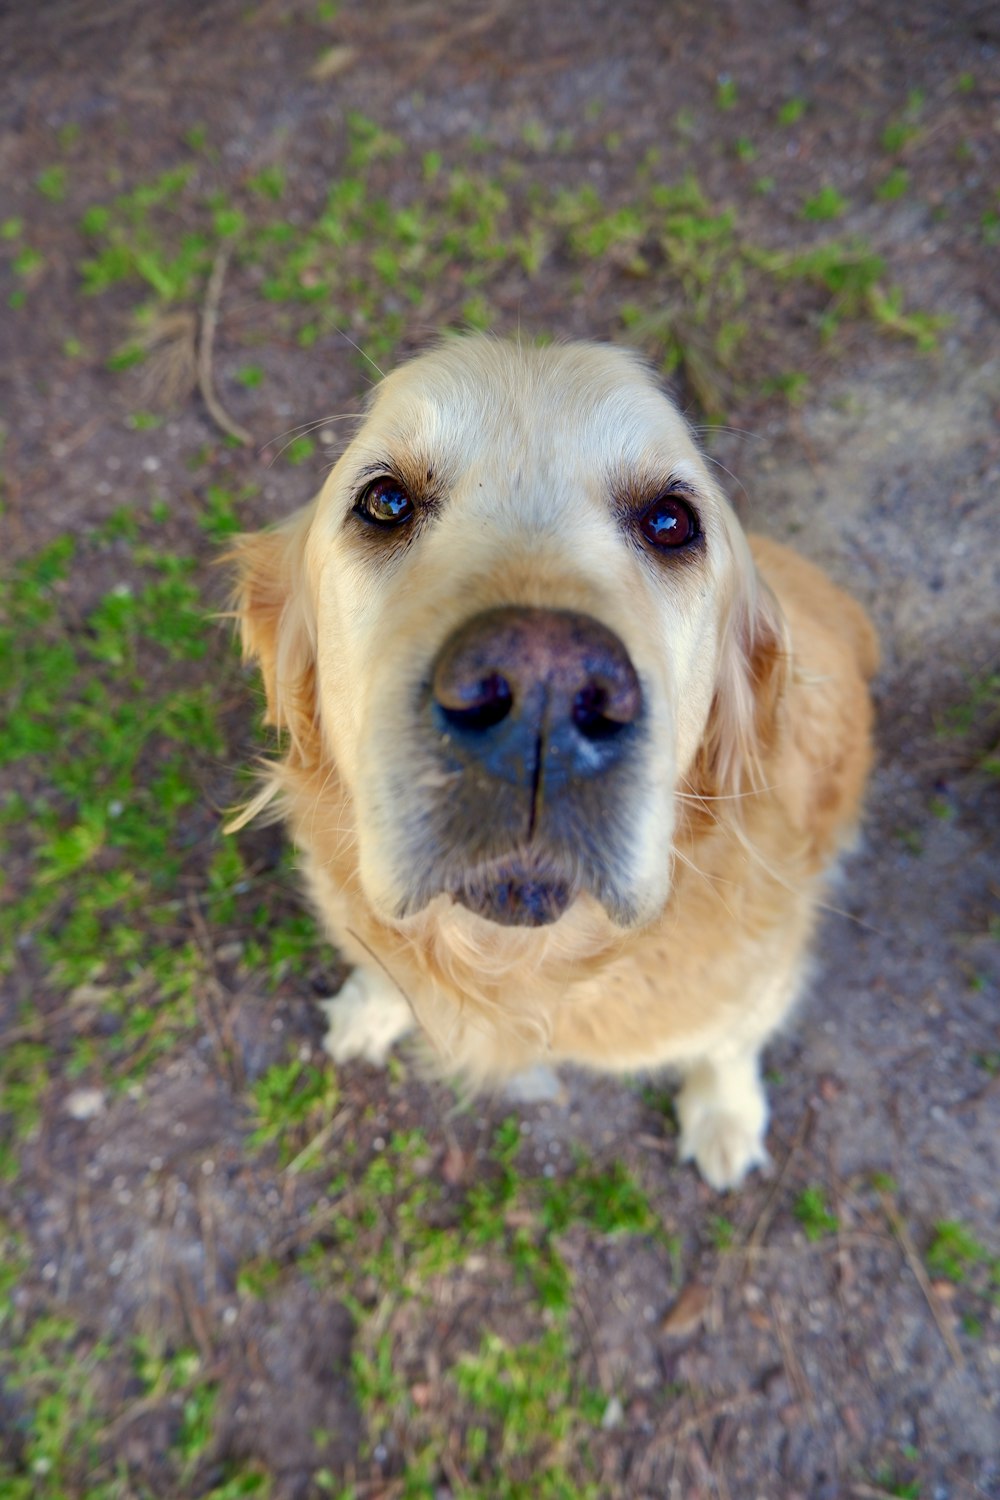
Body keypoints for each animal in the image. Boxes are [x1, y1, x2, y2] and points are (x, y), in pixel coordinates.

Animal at [230, 334, 881, 1188]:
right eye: (385, 503)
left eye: (670, 520)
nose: (544, 685)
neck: (519, 968)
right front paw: (372, 1008)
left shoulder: (760, 976)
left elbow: (731, 1040)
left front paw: (725, 1112)